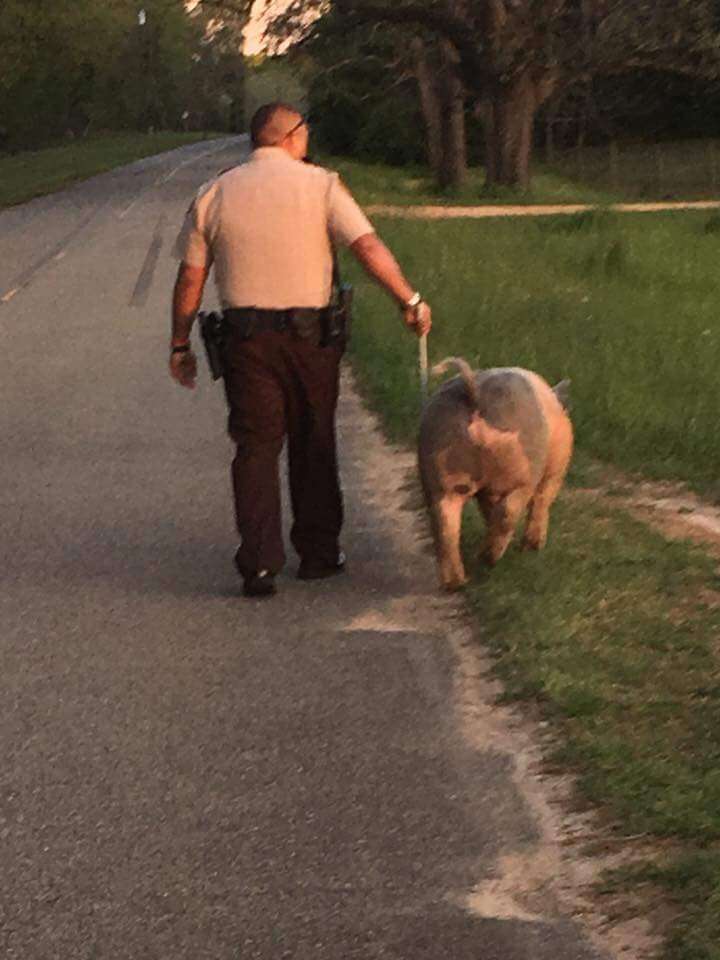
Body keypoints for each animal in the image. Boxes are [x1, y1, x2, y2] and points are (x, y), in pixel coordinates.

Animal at [416, 358, 572, 588]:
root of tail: (475, 393)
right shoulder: (554, 469)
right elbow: (543, 500)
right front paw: (534, 547)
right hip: (520, 474)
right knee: (509, 512)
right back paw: (487, 559)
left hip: (436, 466)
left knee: (444, 521)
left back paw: (456, 582)